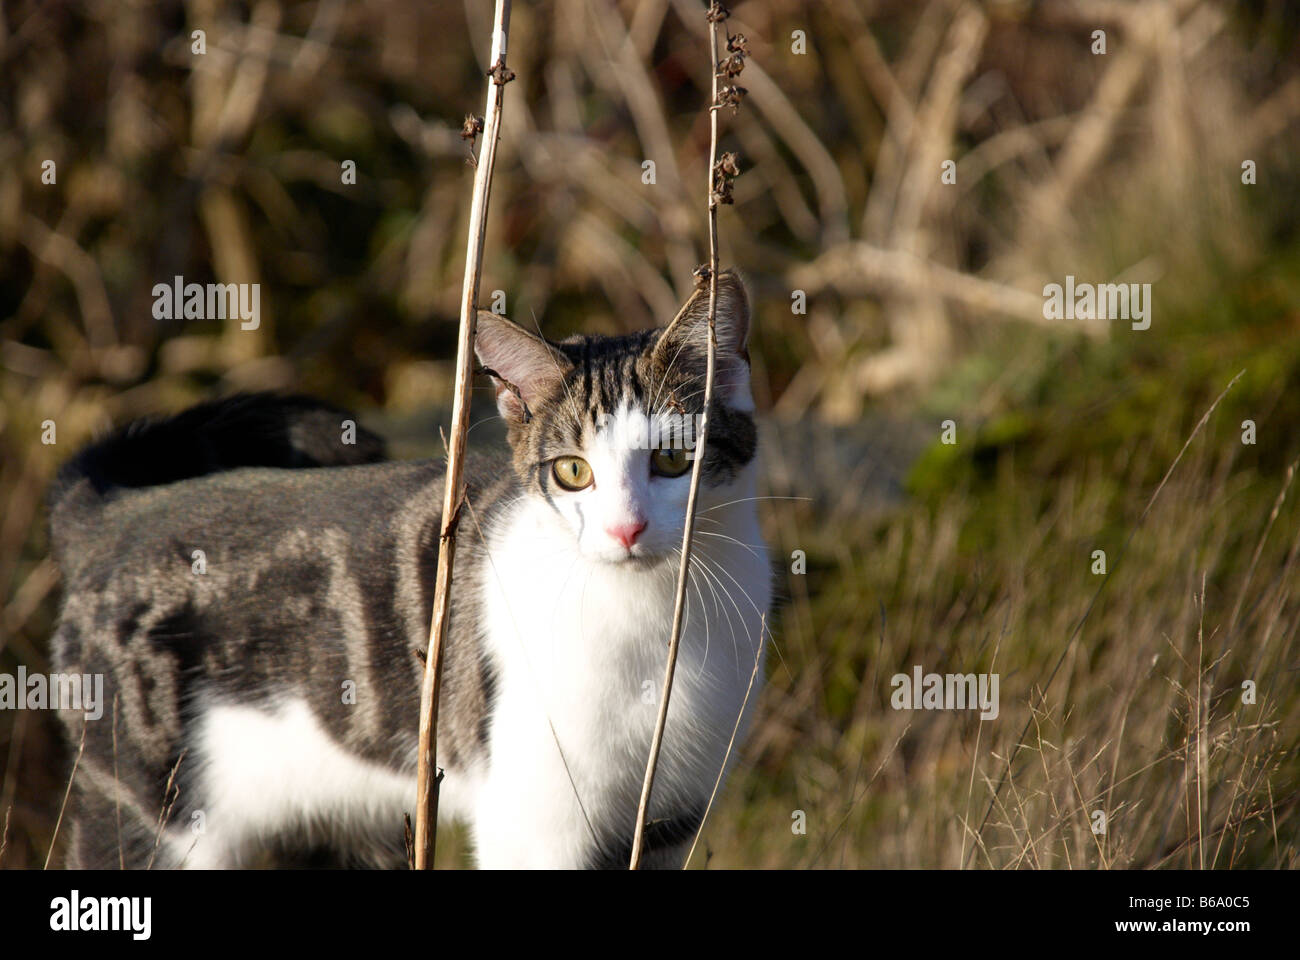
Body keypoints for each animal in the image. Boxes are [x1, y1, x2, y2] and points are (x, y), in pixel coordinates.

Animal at [48, 270, 769, 868]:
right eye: (573, 472)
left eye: (675, 461)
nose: (626, 528)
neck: (652, 620)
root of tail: (113, 512)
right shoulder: (537, 826)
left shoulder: (669, 822)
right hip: (150, 815)